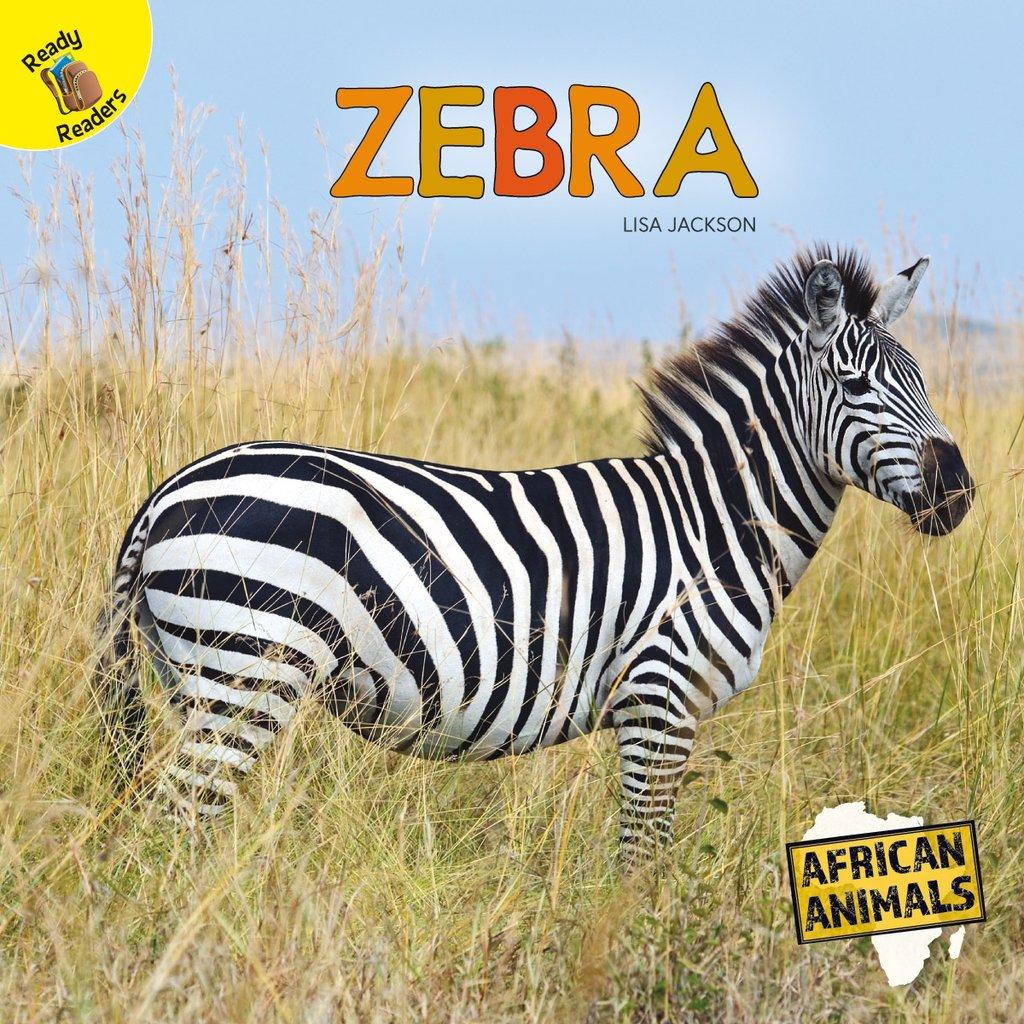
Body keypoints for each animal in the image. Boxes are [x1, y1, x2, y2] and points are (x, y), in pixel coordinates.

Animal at [95, 247, 974, 855]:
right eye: (857, 387)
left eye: (924, 380)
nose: (958, 490)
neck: (717, 524)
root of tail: (166, 492)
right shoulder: (659, 701)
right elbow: (643, 859)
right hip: (246, 672)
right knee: (173, 829)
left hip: (196, 678)